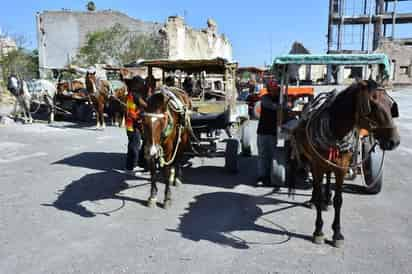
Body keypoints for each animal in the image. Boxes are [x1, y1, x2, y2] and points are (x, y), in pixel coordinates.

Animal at [290, 79, 400, 248]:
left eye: (390, 105)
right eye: (372, 104)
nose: (394, 141)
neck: (336, 131)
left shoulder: (341, 167)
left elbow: (339, 200)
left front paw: (337, 233)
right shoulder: (317, 165)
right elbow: (318, 190)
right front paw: (318, 231)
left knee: (328, 177)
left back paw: (327, 200)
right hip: (311, 159)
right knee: (316, 184)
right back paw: (315, 201)